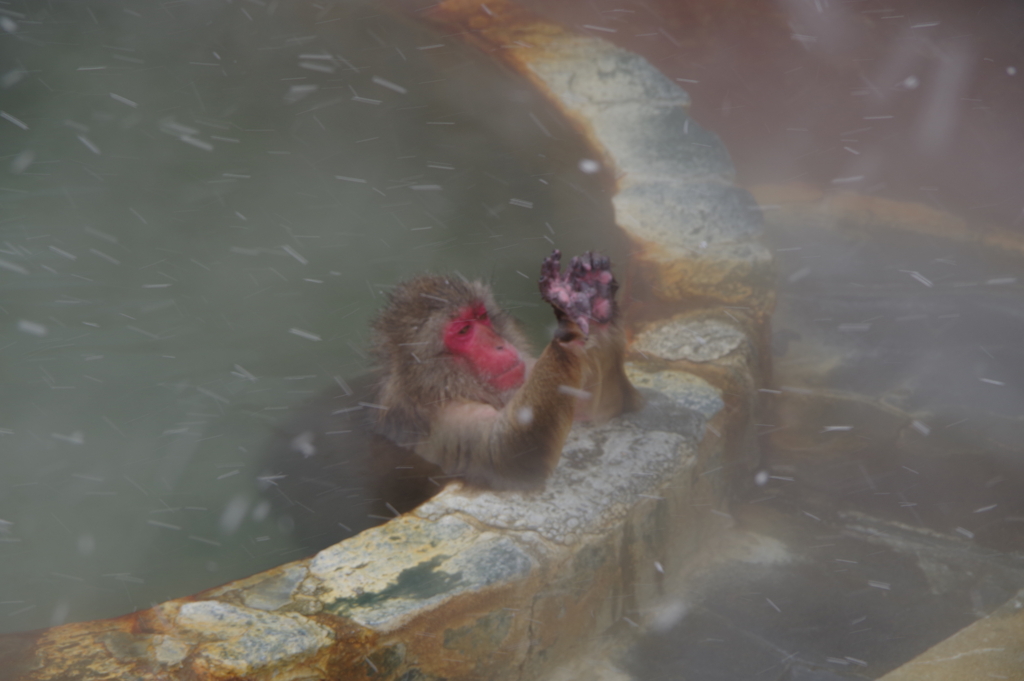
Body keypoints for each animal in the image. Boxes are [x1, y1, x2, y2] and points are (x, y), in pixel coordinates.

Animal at [262, 250, 642, 550]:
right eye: (462, 331)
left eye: (481, 316)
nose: (500, 346)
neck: (443, 385)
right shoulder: (447, 422)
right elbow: (511, 455)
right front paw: (570, 324)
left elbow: (595, 410)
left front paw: (593, 304)